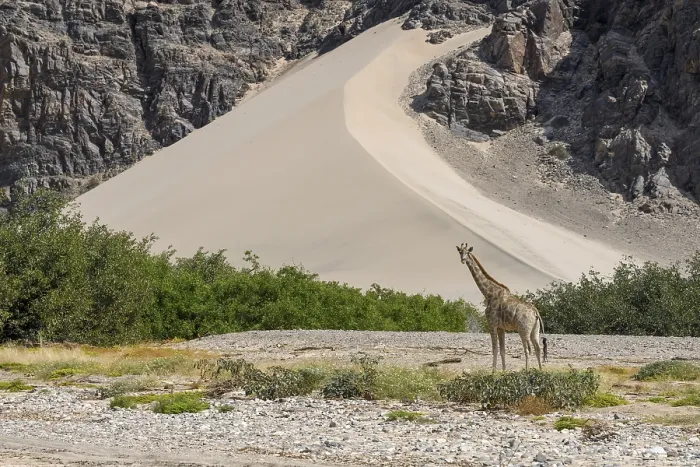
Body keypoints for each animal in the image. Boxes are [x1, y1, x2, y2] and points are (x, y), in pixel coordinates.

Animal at [455, 242, 545, 372]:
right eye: (460, 252)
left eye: (468, 252)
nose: (462, 260)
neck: (488, 293)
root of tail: (535, 312)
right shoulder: (501, 327)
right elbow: (502, 351)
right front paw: (503, 370)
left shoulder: (491, 324)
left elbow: (495, 349)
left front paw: (493, 371)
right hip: (535, 330)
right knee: (538, 348)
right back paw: (541, 369)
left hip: (523, 329)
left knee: (528, 349)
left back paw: (527, 370)